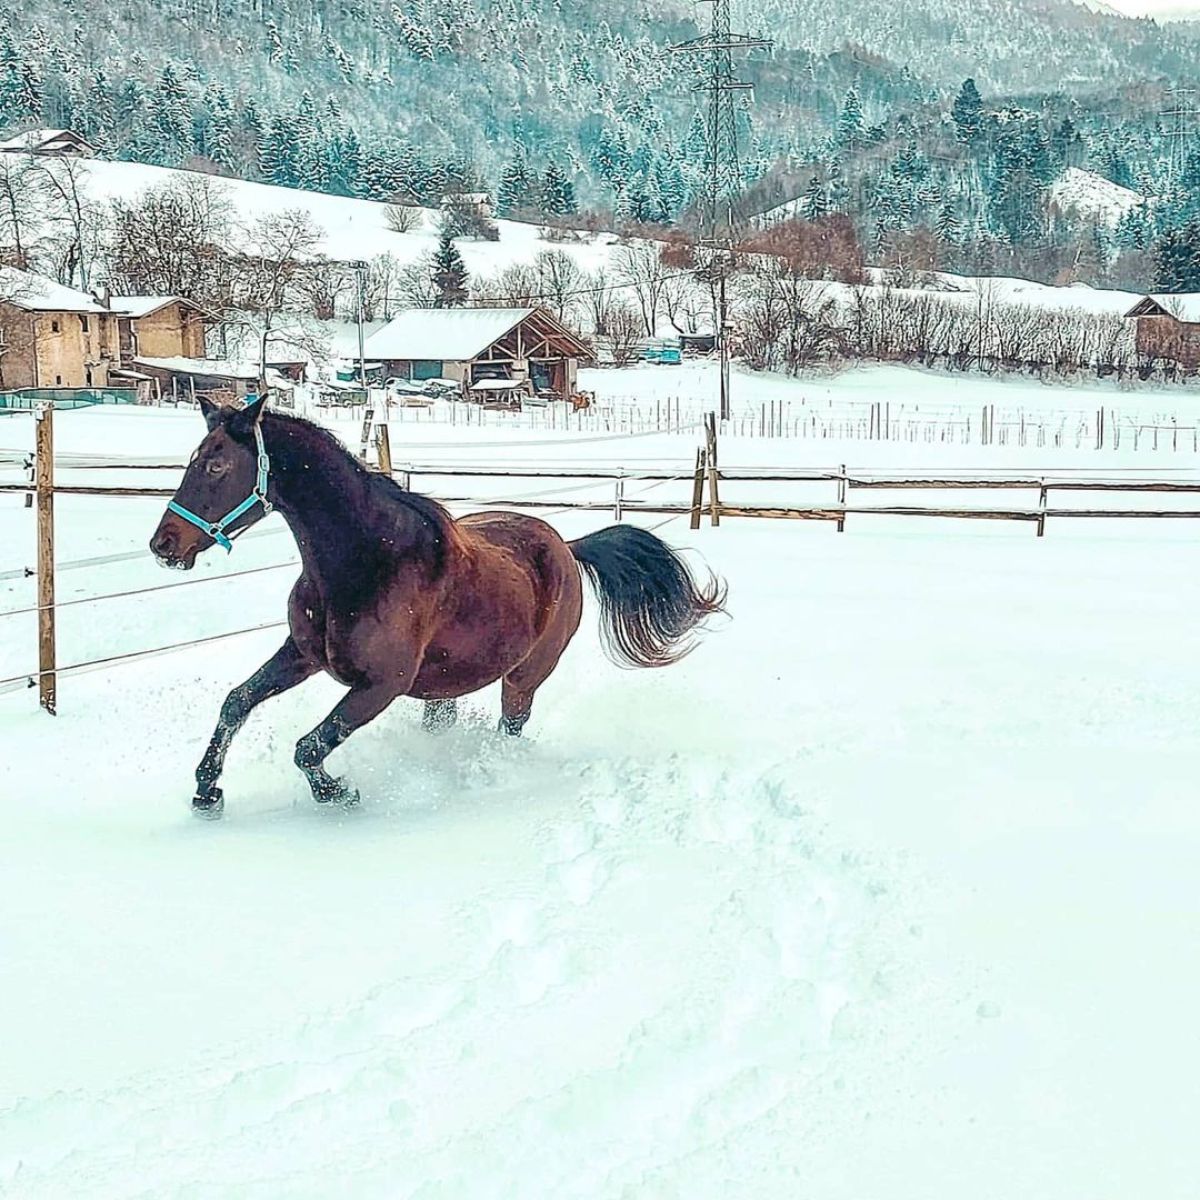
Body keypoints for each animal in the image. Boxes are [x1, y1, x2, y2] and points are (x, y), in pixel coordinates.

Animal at [147, 400, 720, 816]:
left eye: (216, 465)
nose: (164, 544)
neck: (364, 563)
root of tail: (567, 546)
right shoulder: (303, 655)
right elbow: (236, 703)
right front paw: (206, 792)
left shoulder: (382, 684)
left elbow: (309, 746)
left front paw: (339, 793)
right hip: (446, 685)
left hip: (523, 678)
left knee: (510, 728)